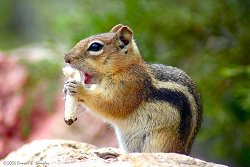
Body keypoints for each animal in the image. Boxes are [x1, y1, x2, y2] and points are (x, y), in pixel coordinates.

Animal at [63, 24, 202, 155]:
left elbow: (111, 105)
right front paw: (65, 87)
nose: (66, 57)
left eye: (95, 46)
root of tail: (184, 152)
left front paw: (79, 89)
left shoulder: (129, 86)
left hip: (158, 141)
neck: (125, 68)